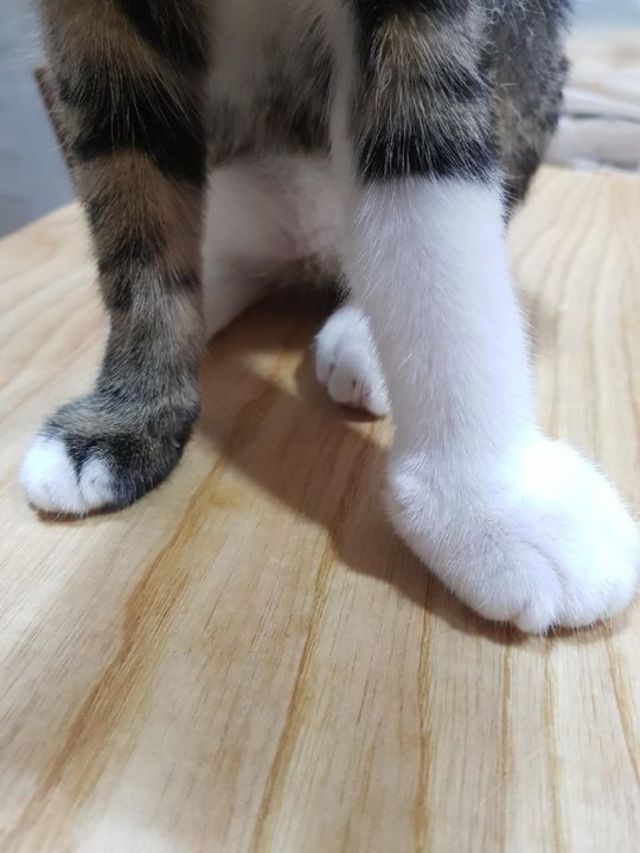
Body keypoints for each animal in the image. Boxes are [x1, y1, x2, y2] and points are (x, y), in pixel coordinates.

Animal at [22, 0, 639, 633]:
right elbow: (130, 187)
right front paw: (126, 415)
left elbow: (429, 189)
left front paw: (487, 501)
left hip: (534, 62)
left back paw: (363, 338)